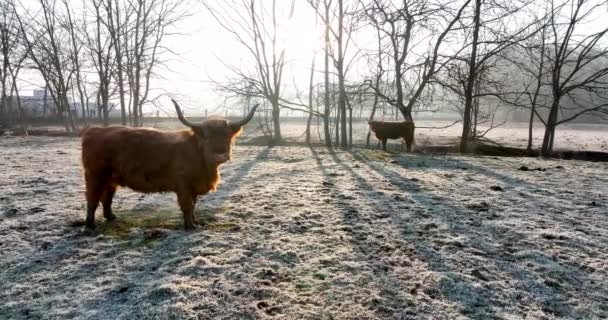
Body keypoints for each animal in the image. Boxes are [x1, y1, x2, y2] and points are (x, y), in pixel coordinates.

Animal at [79, 99, 258, 230]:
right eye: (207, 137)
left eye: (227, 136)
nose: (220, 155)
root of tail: (94, 130)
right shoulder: (184, 185)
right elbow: (187, 205)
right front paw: (190, 226)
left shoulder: (193, 186)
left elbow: (194, 205)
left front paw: (195, 222)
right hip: (95, 176)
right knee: (92, 199)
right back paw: (90, 225)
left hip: (110, 179)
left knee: (106, 198)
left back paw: (111, 217)